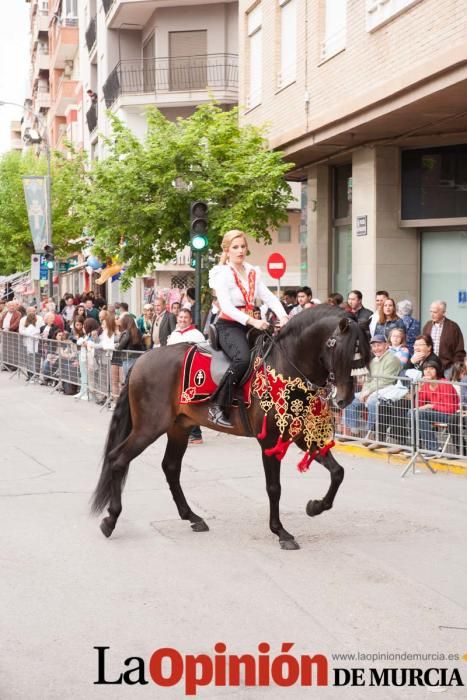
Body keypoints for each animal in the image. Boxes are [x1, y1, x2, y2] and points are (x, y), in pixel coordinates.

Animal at [90, 308, 370, 548]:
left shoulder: (300, 435)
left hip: (179, 427)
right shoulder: (269, 441)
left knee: (170, 467)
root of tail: (140, 361)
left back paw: (192, 517)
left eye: (361, 353)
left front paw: (315, 506)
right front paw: (280, 531)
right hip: (149, 427)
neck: (286, 367)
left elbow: (338, 472)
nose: (345, 399)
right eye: (340, 349)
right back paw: (111, 519)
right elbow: (274, 488)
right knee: (117, 459)